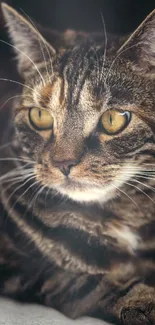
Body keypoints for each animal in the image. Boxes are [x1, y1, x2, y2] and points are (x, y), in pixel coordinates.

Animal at [0, 3, 155, 324]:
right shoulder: (27, 271)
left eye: (114, 119)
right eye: (39, 116)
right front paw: (144, 300)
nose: (64, 162)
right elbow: (89, 281)